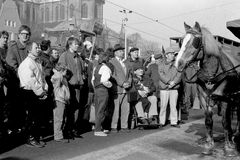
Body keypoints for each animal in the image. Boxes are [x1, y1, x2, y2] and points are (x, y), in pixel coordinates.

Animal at [174, 21, 240, 156]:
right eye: (181, 41)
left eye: (196, 41)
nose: (178, 63)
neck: (212, 74)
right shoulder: (204, 98)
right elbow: (208, 121)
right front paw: (209, 145)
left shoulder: (225, 99)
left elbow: (226, 122)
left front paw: (228, 148)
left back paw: (235, 135)